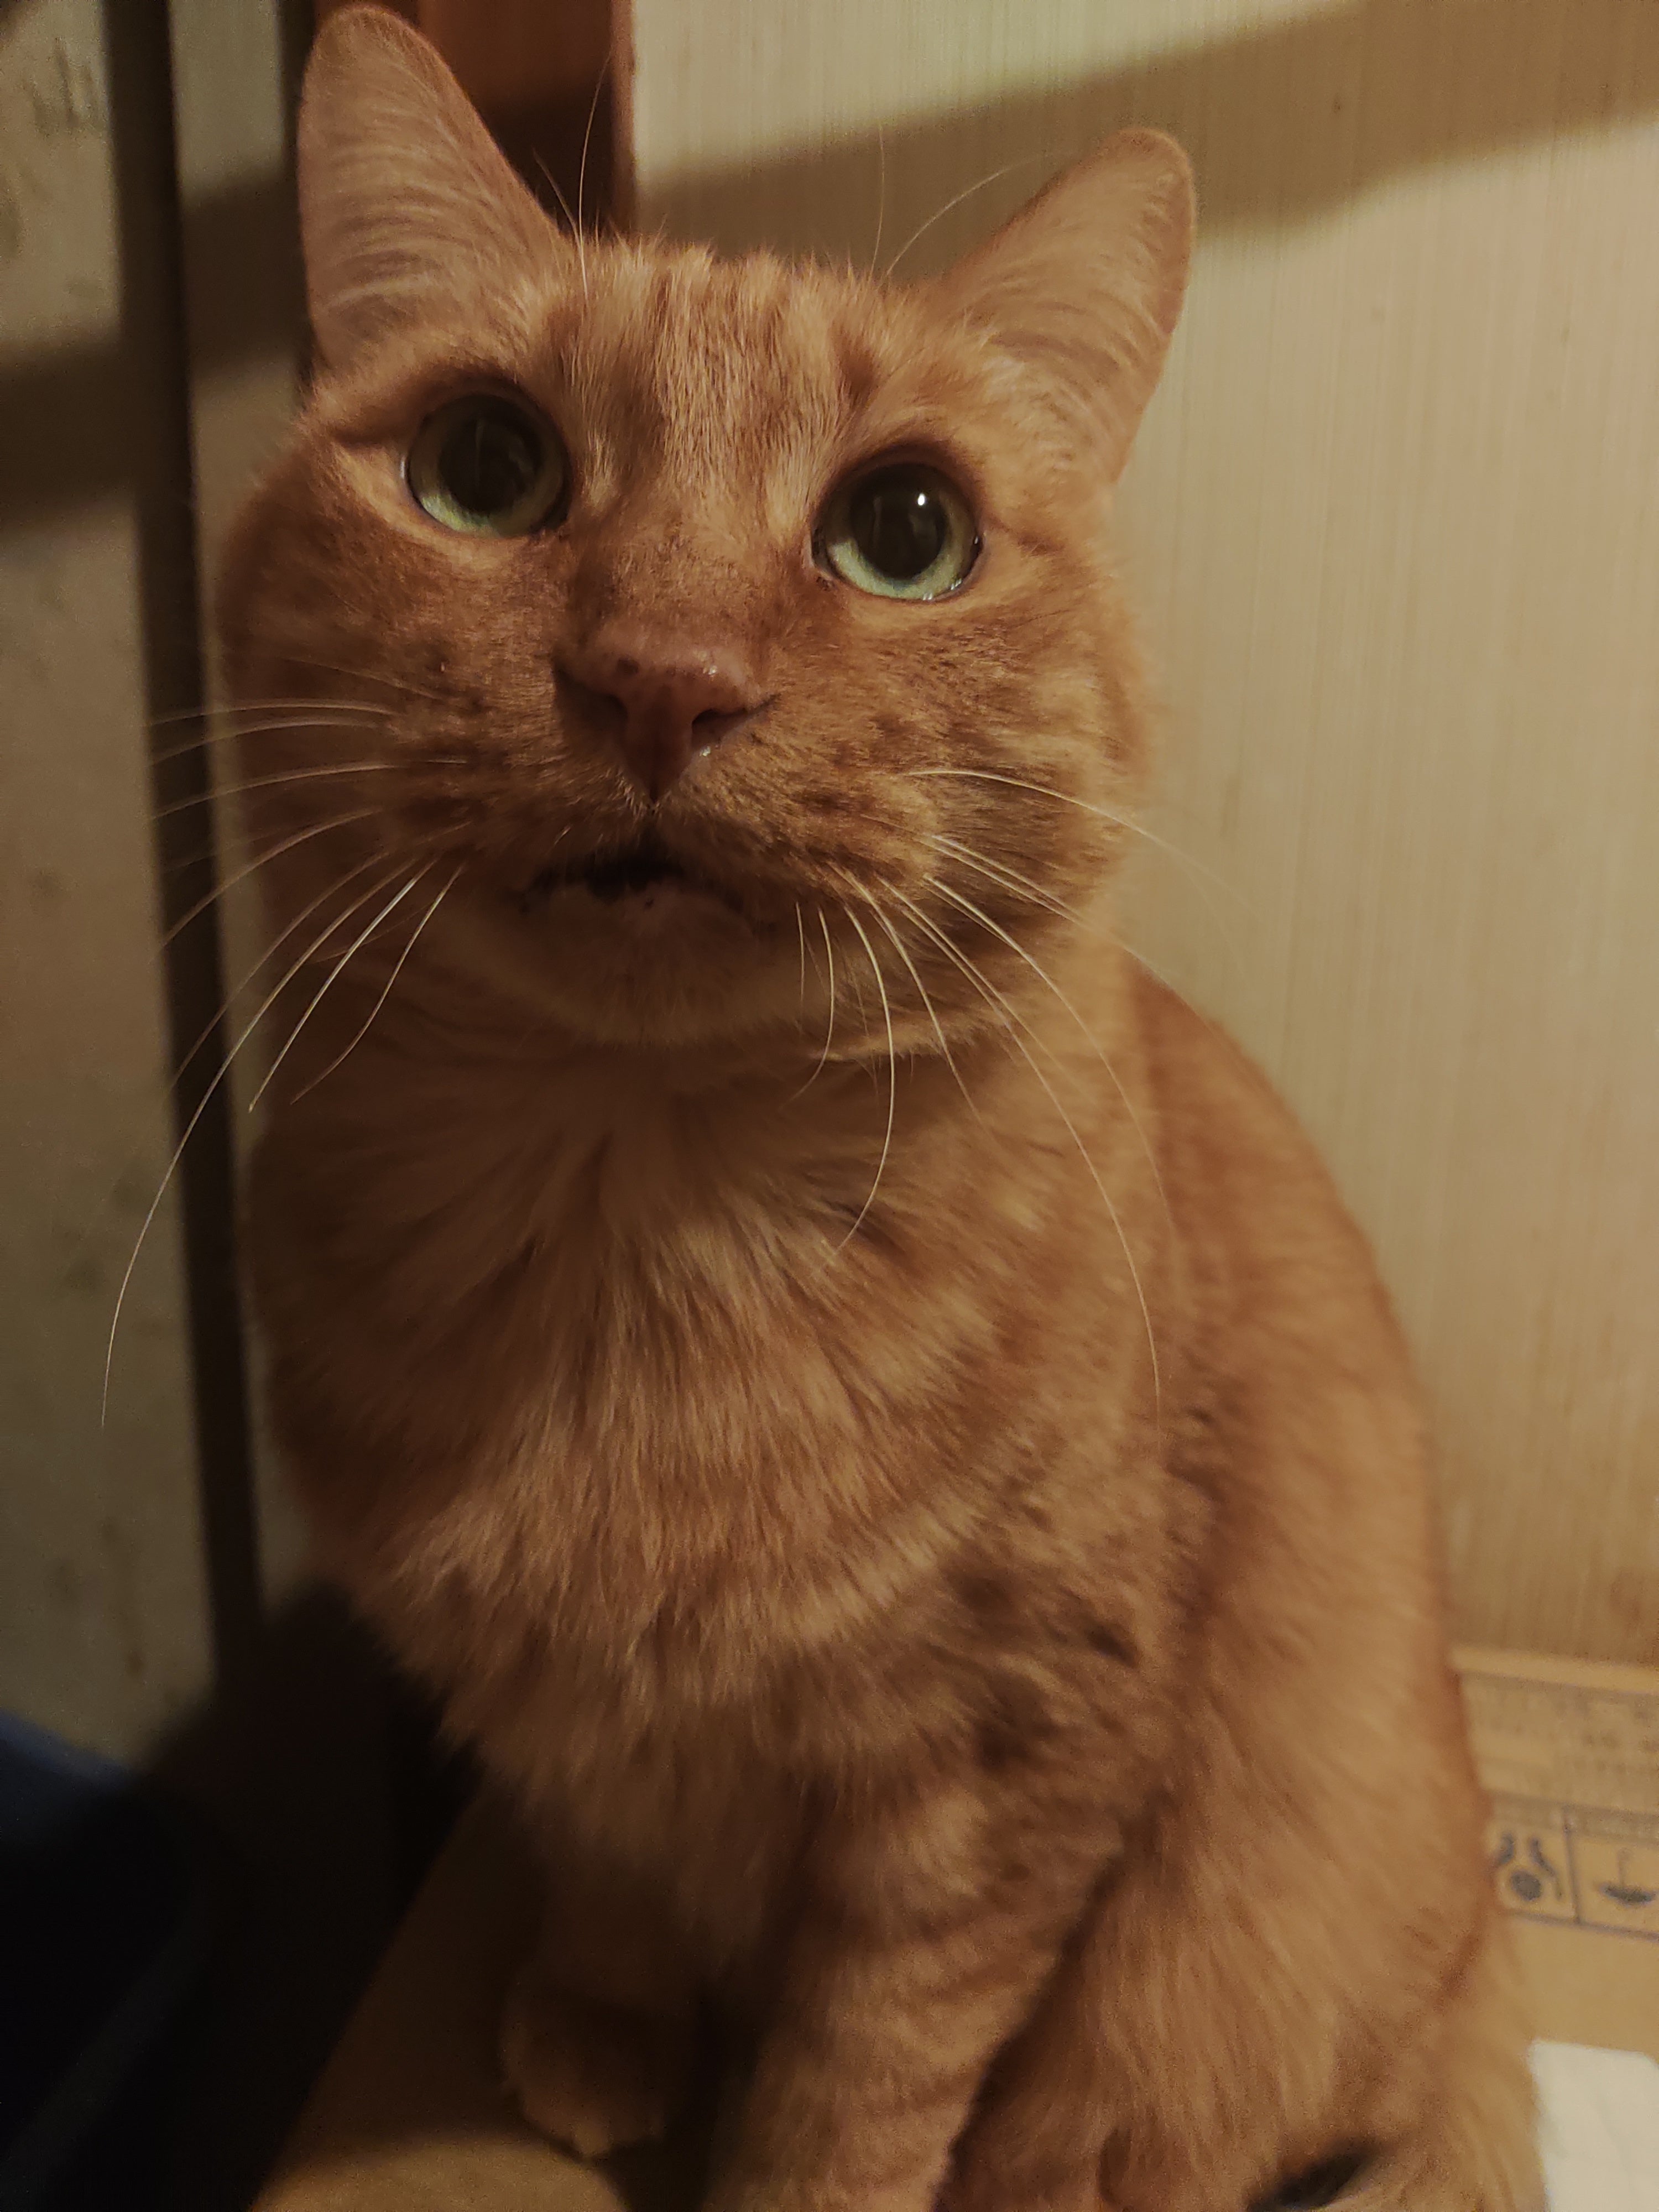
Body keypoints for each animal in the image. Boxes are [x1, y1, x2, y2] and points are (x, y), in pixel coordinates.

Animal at [217, 9, 1542, 2210]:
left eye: (902, 528)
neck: (633, 1241)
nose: (660, 678)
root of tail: (1475, 1969)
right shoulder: (545, 1718)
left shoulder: (1001, 1778)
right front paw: (599, 2023)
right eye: (484, 468)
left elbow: (860, 2080)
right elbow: (604, 1872)